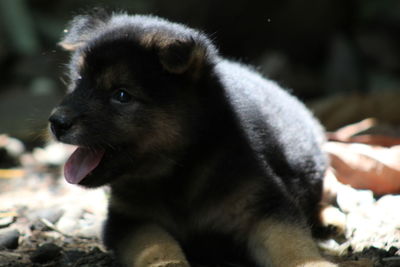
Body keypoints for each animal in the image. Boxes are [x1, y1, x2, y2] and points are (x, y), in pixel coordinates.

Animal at [50, 10, 342, 267]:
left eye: (121, 95)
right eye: (78, 80)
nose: (56, 123)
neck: (179, 170)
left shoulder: (266, 208)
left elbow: (292, 244)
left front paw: (313, 263)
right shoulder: (131, 221)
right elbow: (156, 249)